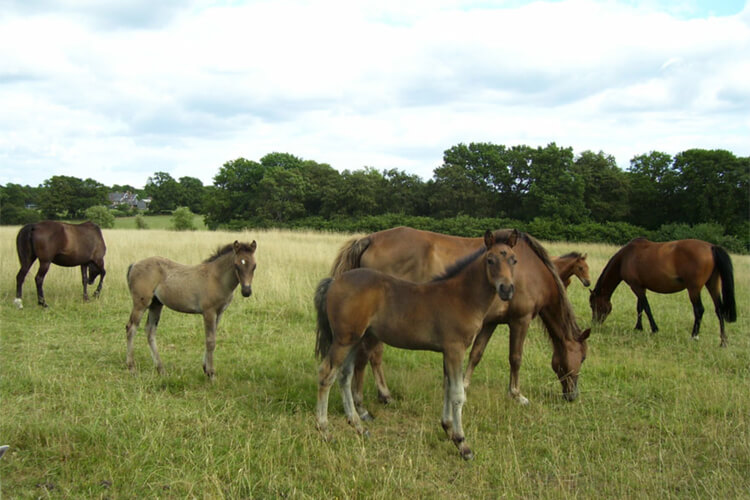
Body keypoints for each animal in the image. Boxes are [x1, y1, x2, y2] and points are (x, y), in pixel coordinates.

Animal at [126, 240, 258, 376]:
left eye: (254, 266)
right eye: (236, 265)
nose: (246, 291)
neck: (217, 278)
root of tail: (134, 264)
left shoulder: (219, 313)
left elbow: (212, 337)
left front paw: (206, 368)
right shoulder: (209, 312)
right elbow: (210, 341)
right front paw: (211, 373)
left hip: (156, 304)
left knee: (150, 331)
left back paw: (161, 369)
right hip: (141, 303)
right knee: (131, 328)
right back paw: (132, 368)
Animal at [314, 230, 520, 460]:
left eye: (514, 260)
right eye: (490, 260)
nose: (507, 289)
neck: (461, 297)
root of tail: (334, 281)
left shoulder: (447, 351)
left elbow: (447, 387)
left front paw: (448, 429)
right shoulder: (455, 349)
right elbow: (458, 394)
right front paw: (462, 444)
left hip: (354, 339)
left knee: (344, 376)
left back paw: (358, 426)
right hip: (344, 339)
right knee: (326, 374)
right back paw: (325, 431)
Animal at [332, 229, 592, 408]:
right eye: (582, 358)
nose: (573, 396)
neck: (532, 270)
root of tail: (370, 239)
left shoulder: (490, 322)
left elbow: (476, 354)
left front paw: (463, 386)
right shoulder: (521, 320)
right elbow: (516, 358)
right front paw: (517, 395)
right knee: (375, 355)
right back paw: (384, 395)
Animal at [592, 236, 736, 346]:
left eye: (594, 305)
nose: (595, 323)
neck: (626, 257)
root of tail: (711, 247)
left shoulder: (636, 287)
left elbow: (646, 308)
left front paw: (654, 329)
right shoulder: (640, 287)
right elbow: (640, 307)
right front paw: (638, 327)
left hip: (694, 289)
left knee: (699, 310)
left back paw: (694, 336)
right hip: (712, 284)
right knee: (719, 310)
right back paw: (723, 342)